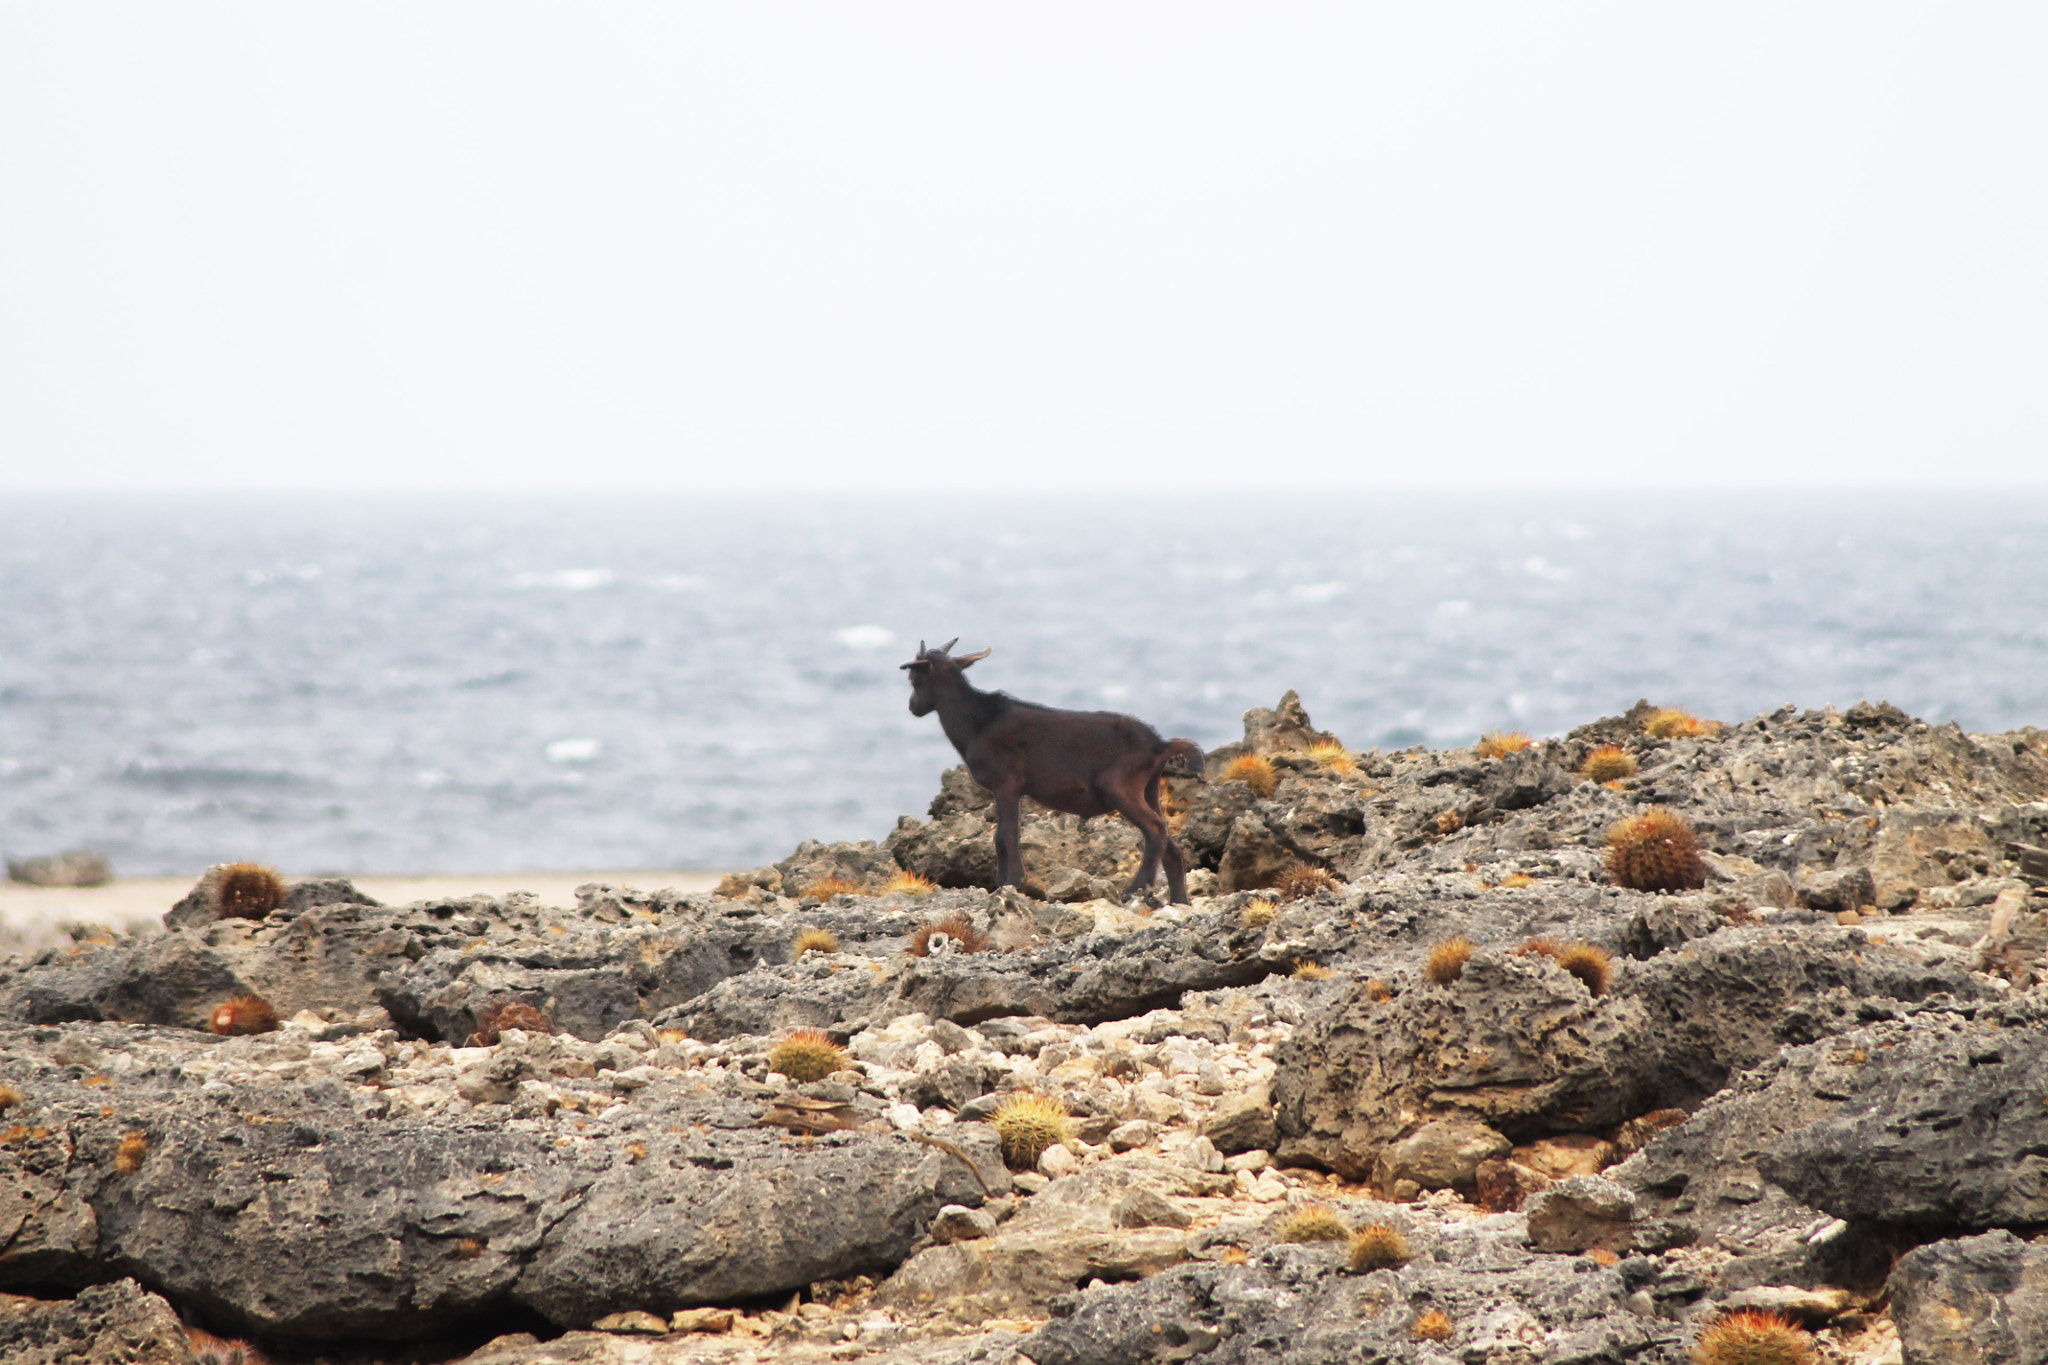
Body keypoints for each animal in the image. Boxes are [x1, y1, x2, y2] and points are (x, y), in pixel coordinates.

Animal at [897, 642, 1196, 900]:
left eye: (914, 679)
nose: (912, 707)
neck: (978, 721)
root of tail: (1159, 744)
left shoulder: (1006, 783)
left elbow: (1005, 835)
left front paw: (1008, 883)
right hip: (1150, 788)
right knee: (1170, 843)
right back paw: (1179, 900)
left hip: (1120, 787)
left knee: (1154, 829)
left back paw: (1136, 888)